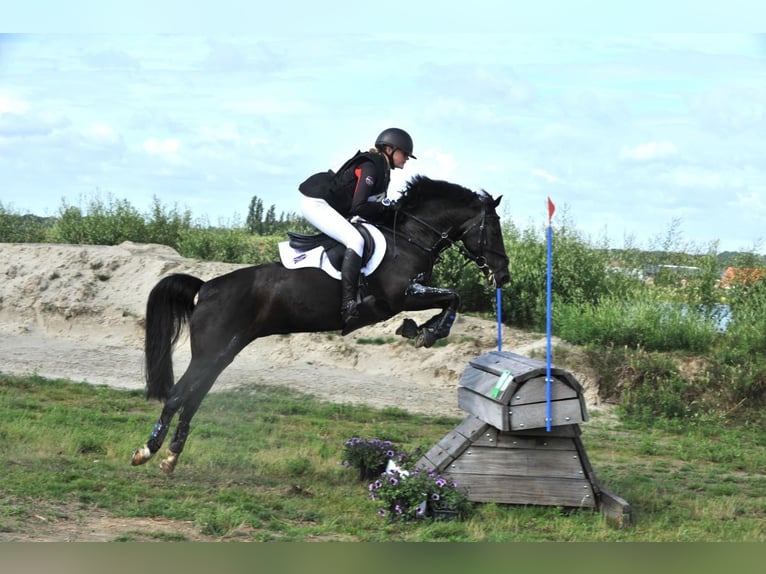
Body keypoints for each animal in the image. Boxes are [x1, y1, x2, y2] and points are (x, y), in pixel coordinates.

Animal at [132, 176, 512, 472]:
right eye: (493, 229)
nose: (504, 276)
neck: (408, 239)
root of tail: (206, 287)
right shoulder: (399, 297)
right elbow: (453, 297)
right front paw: (427, 332)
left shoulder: (411, 296)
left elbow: (450, 299)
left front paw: (420, 330)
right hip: (209, 353)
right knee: (179, 395)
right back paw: (147, 451)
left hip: (224, 352)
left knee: (194, 398)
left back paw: (171, 457)